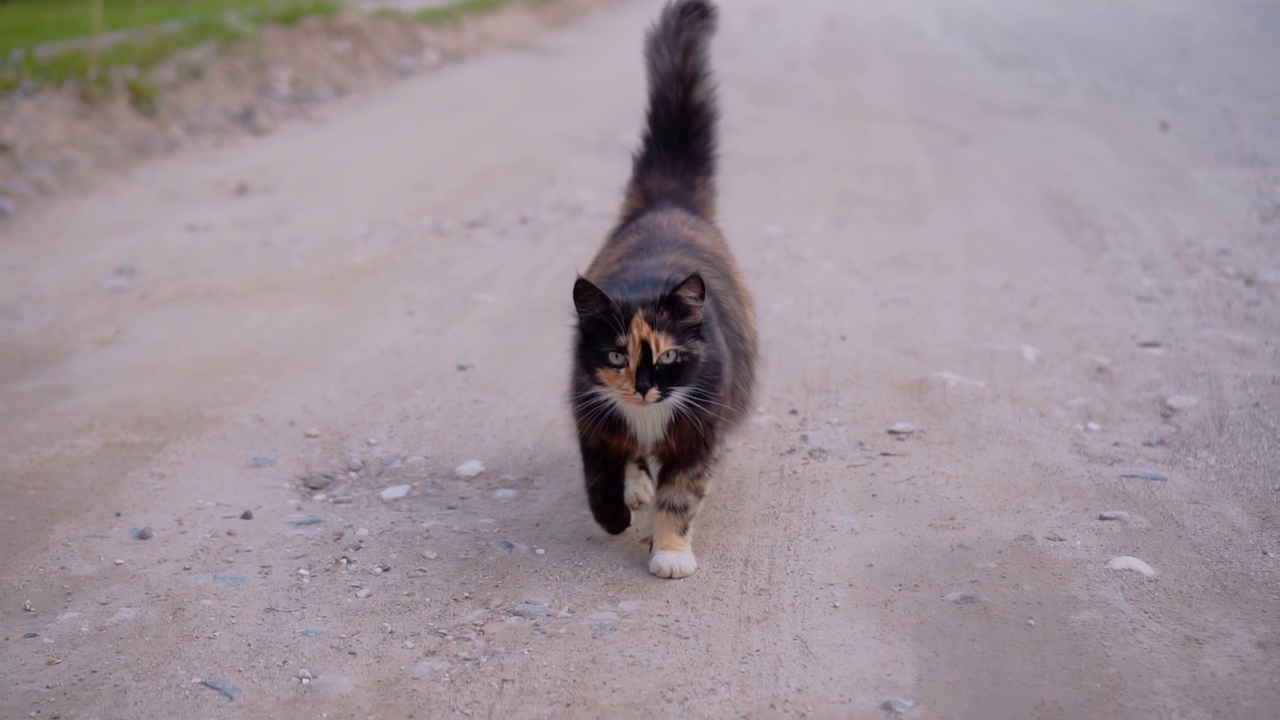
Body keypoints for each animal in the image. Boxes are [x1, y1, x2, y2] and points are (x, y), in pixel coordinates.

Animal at [568, 1, 752, 576]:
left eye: (668, 356)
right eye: (616, 356)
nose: (646, 387)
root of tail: (667, 201)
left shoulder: (700, 432)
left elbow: (681, 497)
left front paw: (670, 552)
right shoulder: (590, 416)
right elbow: (598, 477)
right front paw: (615, 517)